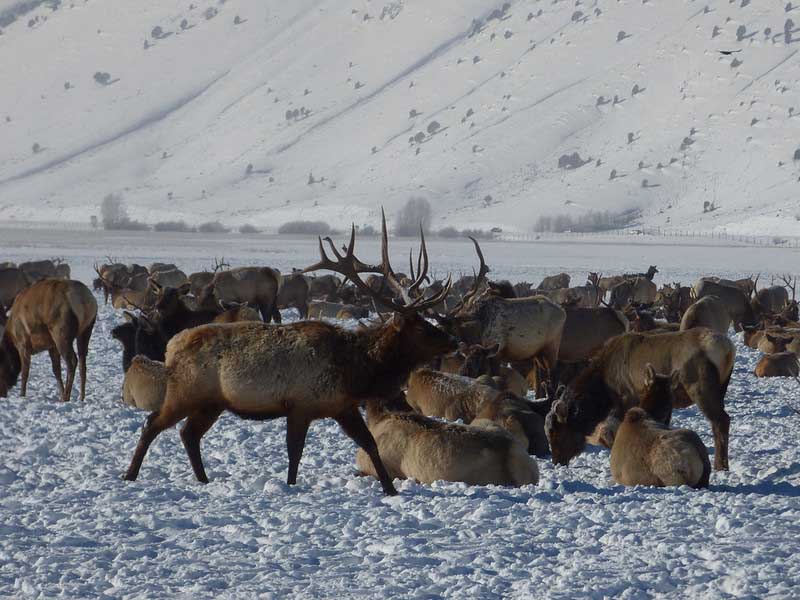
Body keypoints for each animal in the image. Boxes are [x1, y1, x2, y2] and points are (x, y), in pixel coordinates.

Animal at [120, 216, 456, 496]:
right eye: (421, 327)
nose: (452, 339)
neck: (356, 371)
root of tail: (171, 346)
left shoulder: (341, 406)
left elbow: (369, 443)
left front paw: (390, 489)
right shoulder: (301, 405)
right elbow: (295, 451)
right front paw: (291, 484)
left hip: (211, 402)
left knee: (188, 434)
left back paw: (202, 478)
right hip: (186, 391)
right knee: (153, 423)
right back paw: (130, 474)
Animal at [548, 326, 736, 472]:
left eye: (555, 431)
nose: (557, 461)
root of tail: (728, 349)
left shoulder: (626, 397)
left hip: (700, 387)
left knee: (721, 420)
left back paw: (721, 465)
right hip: (721, 388)